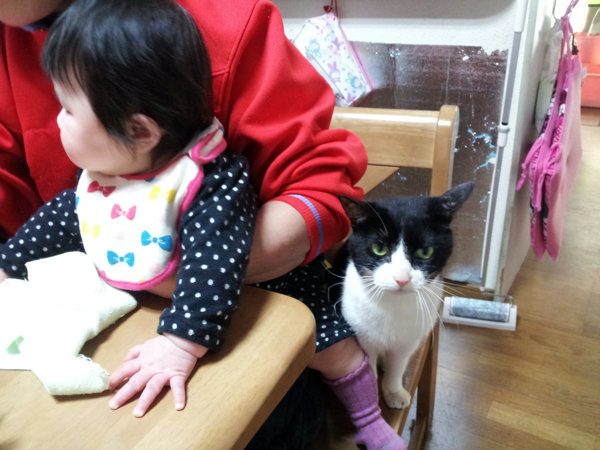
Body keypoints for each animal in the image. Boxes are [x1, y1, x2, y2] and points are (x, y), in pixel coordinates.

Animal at [333, 181, 474, 409]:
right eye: (379, 248)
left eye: (425, 252)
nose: (401, 278)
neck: (394, 307)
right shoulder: (363, 337)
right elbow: (368, 368)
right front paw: (374, 394)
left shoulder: (408, 341)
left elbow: (398, 367)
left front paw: (394, 392)